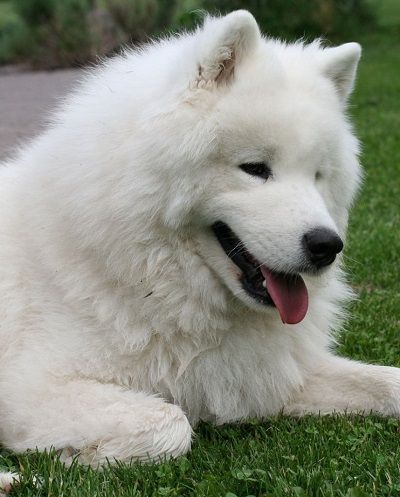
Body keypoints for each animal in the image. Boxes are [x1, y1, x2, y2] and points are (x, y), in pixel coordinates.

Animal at [0, 11, 400, 488]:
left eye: (318, 175)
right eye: (255, 168)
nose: (327, 245)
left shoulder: (267, 373)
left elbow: (389, 382)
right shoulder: (33, 387)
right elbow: (170, 424)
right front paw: (77, 458)